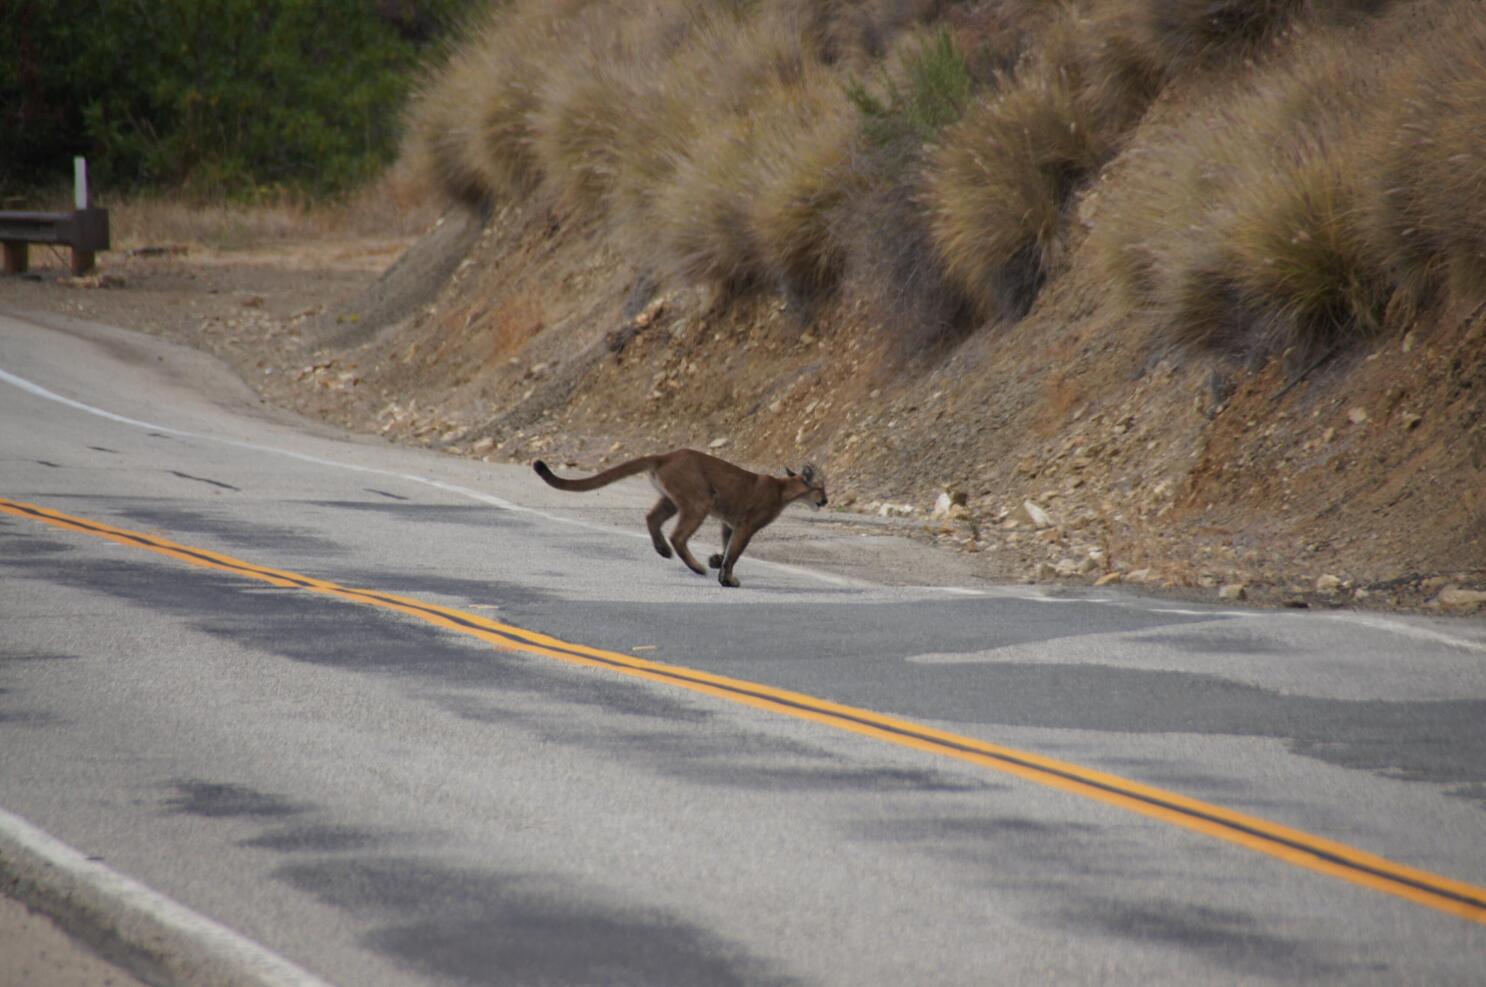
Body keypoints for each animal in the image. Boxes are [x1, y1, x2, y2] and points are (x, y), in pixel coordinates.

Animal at [534, 451, 832, 585]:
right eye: (821, 489)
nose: (827, 501)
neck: (784, 490)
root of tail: (667, 454)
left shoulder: (730, 522)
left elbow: (727, 545)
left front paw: (716, 561)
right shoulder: (747, 525)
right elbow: (735, 552)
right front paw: (726, 578)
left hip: (672, 500)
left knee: (651, 518)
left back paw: (663, 550)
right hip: (699, 502)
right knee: (677, 536)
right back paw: (694, 566)